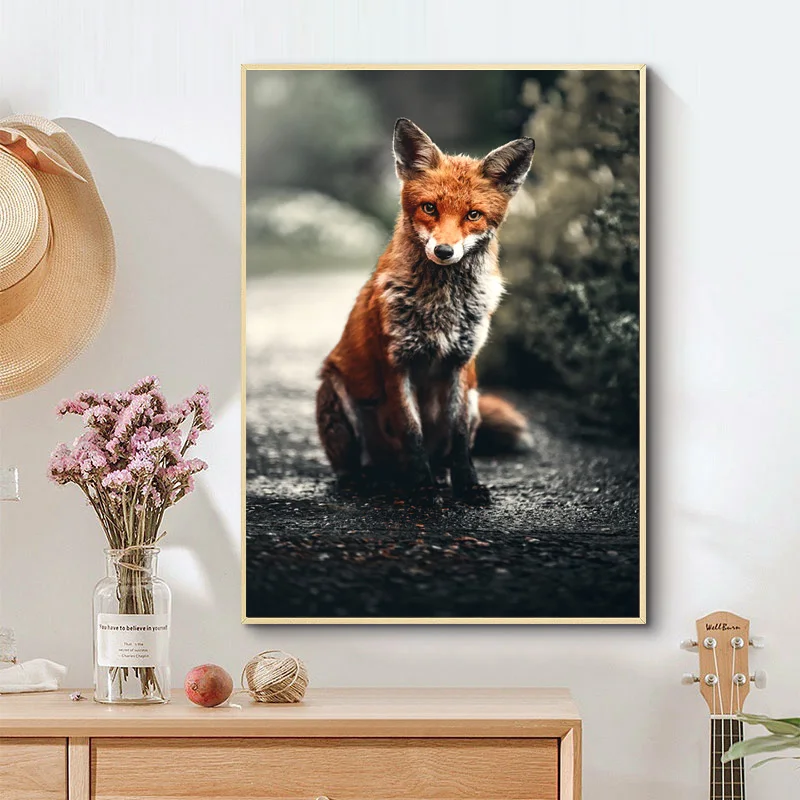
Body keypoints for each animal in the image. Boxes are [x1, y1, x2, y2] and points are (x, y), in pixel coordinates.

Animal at [316, 118, 535, 505]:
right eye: (430, 208)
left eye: (473, 215)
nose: (444, 251)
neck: (441, 306)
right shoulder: (396, 363)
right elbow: (411, 431)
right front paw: (422, 487)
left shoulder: (461, 364)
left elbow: (460, 440)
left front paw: (467, 485)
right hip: (335, 391)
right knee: (356, 467)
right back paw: (370, 480)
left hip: (475, 399)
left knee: (445, 452)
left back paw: (437, 475)